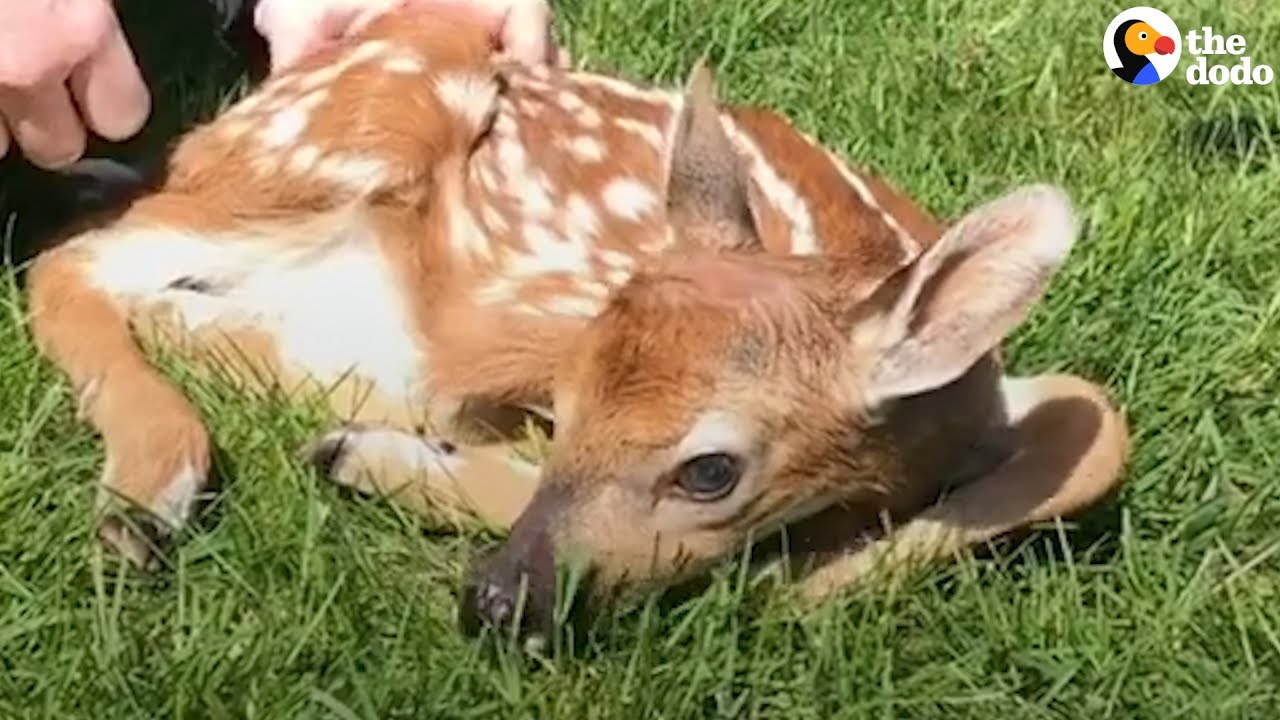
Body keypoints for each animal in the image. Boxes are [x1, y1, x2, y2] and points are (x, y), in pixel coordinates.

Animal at [23, 8, 1129, 642]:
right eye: (566, 402)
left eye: (710, 471)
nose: (493, 604)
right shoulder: (506, 329)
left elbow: (1097, 429)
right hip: (363, 119)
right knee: (71, 262)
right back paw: (146, 497)